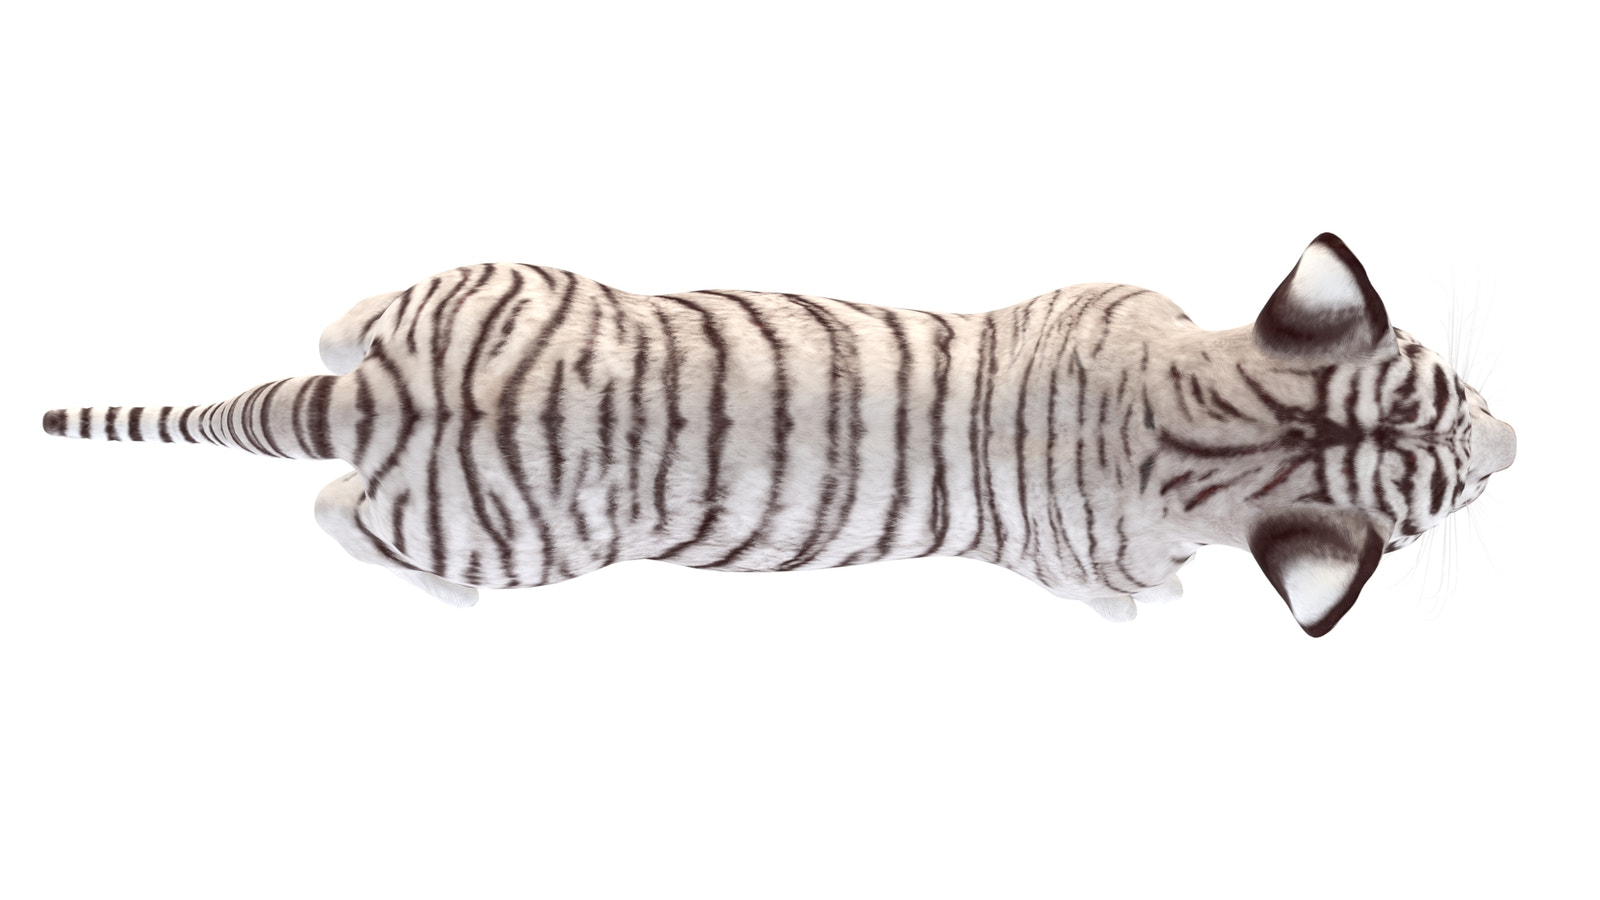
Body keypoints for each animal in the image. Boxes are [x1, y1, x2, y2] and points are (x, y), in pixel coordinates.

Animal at [41, 233, 1515, 636]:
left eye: (1448, 388)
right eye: (1453, 482)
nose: (1520, 445)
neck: (1216, 429)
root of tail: (373, 401)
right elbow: (1128, 597)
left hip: (462, 290)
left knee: (342, 340)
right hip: (506, 527)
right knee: (332, 512)